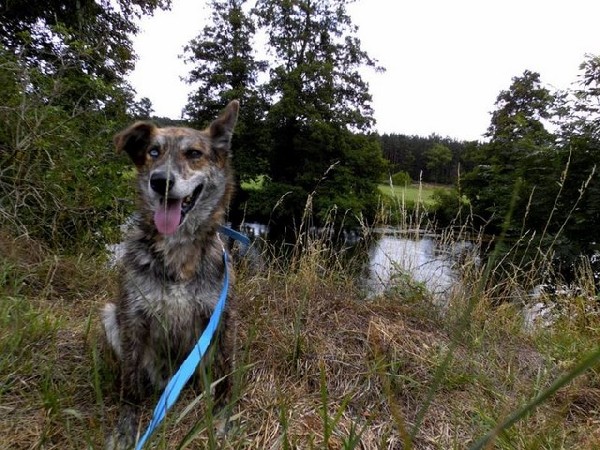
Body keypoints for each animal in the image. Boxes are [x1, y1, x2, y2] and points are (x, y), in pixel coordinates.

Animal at [101, 100, 239, 448]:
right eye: (153, 152)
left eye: (194, 153)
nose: (160, 181)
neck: (178, 250)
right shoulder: (133, 317)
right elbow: (130, 383)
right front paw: (126, 428)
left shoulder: (220, 316)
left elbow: (224, 373)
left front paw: (222, 417)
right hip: (109, 314)